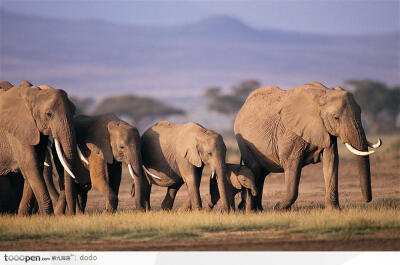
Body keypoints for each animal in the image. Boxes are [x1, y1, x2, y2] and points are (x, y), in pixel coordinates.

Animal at [0, 80, 86, 214]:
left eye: (74, 112)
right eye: (49, 114)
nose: (72, 214)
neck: (33, 94)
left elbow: (37, 164)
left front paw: (23, 216)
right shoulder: (16, 130)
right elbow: (30, 164)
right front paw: (48, 216)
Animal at [234, 80, 382, 210]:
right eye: (336, 118)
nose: (367, 200)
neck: (324, 94)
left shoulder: (325, 130)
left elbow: (331, 161)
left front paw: (334, 211)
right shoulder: (291, 132)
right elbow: (292, 164)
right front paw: (279, 209)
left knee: (261, 175)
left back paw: (258, 210)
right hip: (245, 143)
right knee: (255, 170)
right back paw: (252, 210)